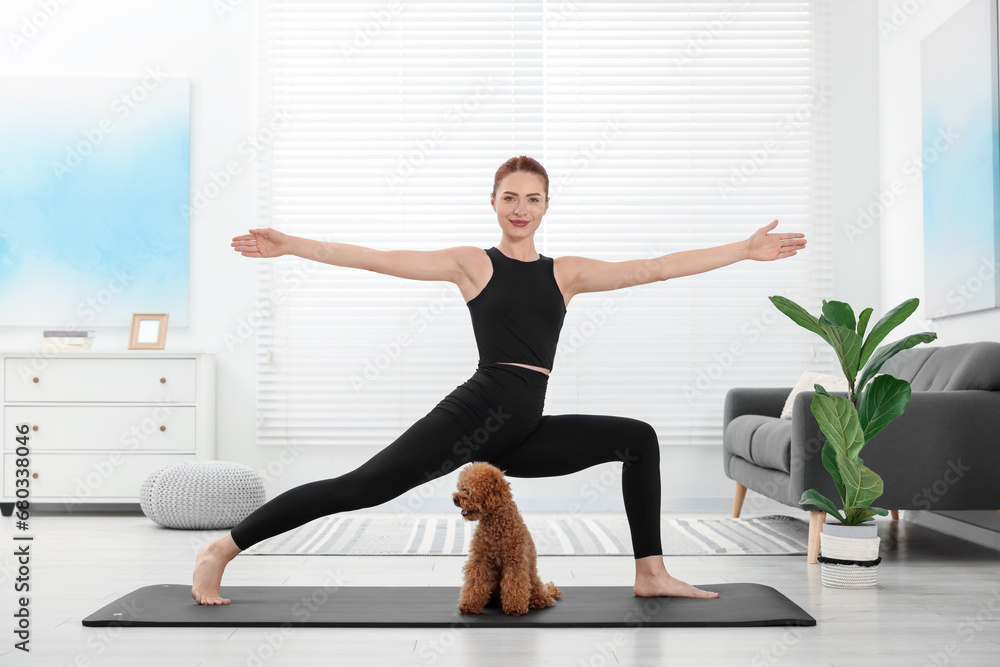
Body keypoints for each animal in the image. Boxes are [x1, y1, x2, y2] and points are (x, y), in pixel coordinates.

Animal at [454, 462, 564, 620]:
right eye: (461, 488)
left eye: (469, 492)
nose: (455, 499)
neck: (496, 525)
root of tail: (545, 590)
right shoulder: (480, 559)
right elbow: (475, 582)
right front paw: (469, 605)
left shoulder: (515, 560)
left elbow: (514, 584)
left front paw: (515, 608)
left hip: (534, 584)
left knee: (541, 598)